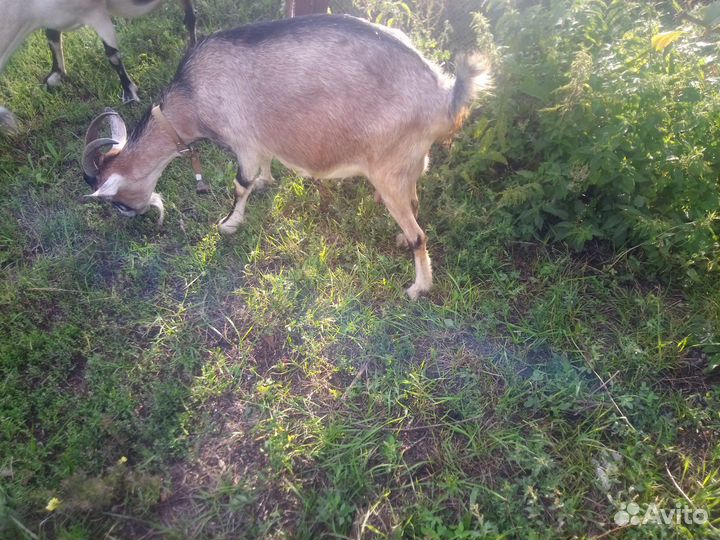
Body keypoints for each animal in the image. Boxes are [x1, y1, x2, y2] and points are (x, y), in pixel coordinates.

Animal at [0, 0, 197, 134]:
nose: (12, 127)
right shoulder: (52, 19)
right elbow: (52, 38)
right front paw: (55, 76)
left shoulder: (96, 13)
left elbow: (112, 55)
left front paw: (129, 93)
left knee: (190, 17)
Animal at [81, 15, 491, 299]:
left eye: (116, 202)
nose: (132, 217)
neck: (191, 99)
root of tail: (442, 96)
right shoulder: (260, 138)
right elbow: (262, 168)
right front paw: (266, 181)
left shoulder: (242, 140)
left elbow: (240, 184)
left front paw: (229, 223)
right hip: (408, 164)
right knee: (415, 205)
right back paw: (401, 240)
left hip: (388, 168)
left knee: (420, 233)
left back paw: (418, 287)